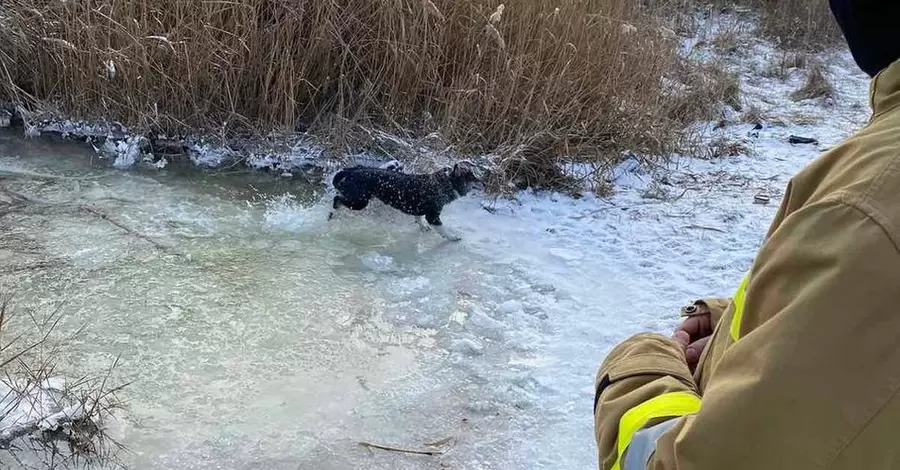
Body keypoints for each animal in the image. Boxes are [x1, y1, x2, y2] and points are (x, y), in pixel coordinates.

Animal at [328, 162, 482, 242]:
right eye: (471, 176)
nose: (483, 181)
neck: (445, 183)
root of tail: (350, 171)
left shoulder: (419, 209)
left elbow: (418, 218)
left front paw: (422, 227)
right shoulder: (433, 216)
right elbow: (443, 229)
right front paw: (453, 237)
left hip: (357, 198)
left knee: (338, 197)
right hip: (360, 201)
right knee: (337, 201)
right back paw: (332, 214)